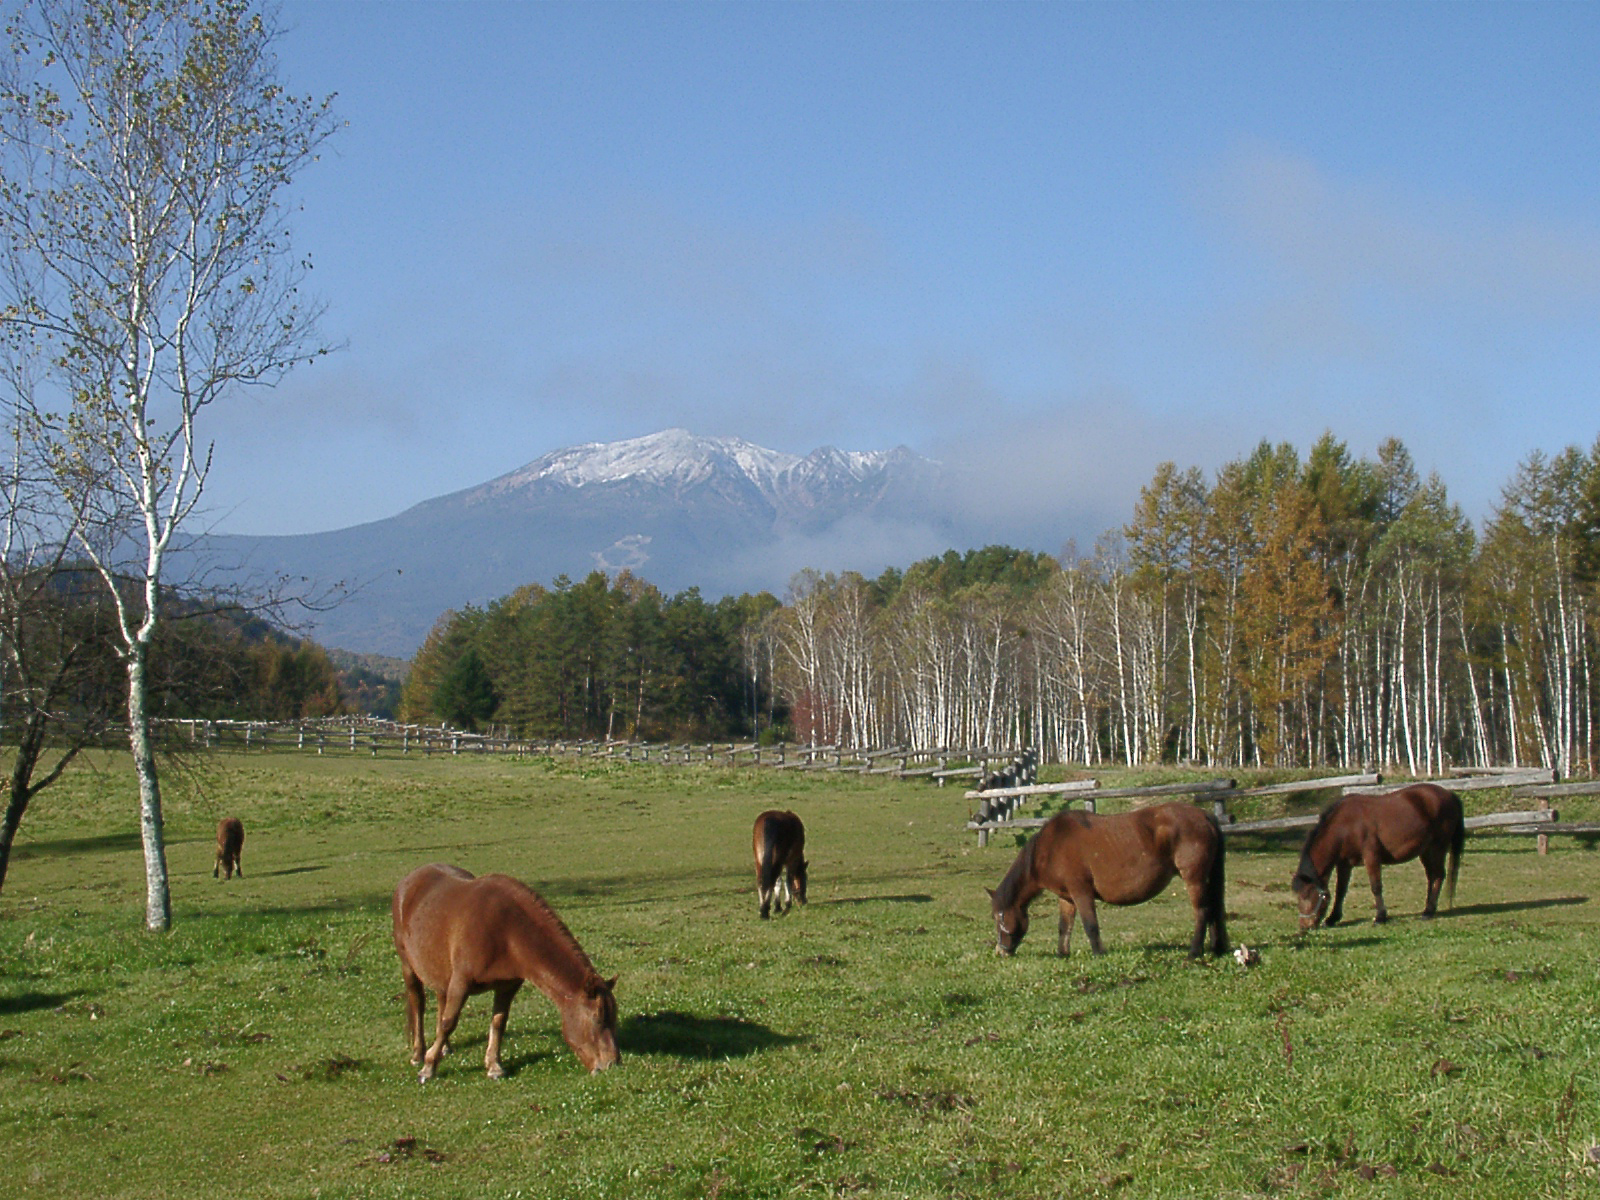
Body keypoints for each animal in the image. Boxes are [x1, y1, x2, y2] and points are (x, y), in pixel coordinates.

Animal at [390, 864, 620, 1081]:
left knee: (440, 999)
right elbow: (449, 1022)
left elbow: (498, 1022)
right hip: (408, 966)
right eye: (598, 1019)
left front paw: (494, 1066)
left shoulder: (507, 986)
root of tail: (408, 881)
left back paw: (445, 1048)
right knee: (418, 1002)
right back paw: (419, 1053)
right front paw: (428, 1067)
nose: (612, 1064)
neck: (506, 930)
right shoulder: (461, 983)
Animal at [979, 803, 1228, 966]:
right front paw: (1062, 953)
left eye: (999, 916)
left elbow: (1090, 925)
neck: (1051, 846)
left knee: (1202, 912)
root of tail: (1205, 816)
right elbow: (1064, 926)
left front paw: (1098, 953)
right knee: (1215, 911)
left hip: (1194, 879)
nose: (1000, 951)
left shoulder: (1081, 892)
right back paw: (1216, 948)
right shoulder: (1066, 897)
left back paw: (1194, 952)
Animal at [1292, 784, 1465, 934]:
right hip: (1426, 851)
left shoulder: (1371, 857)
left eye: (1306, 894)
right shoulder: (1344, 864)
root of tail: (1448, 793)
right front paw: (1332, 918)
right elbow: (1341, 890)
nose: (1304, 926)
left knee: (1438, 875)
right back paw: (1428, 908)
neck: (1345, 826)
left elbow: (1376, 887)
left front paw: (1380, 917)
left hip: (1437, 848)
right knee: (1432, 876)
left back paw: (1428, 911)